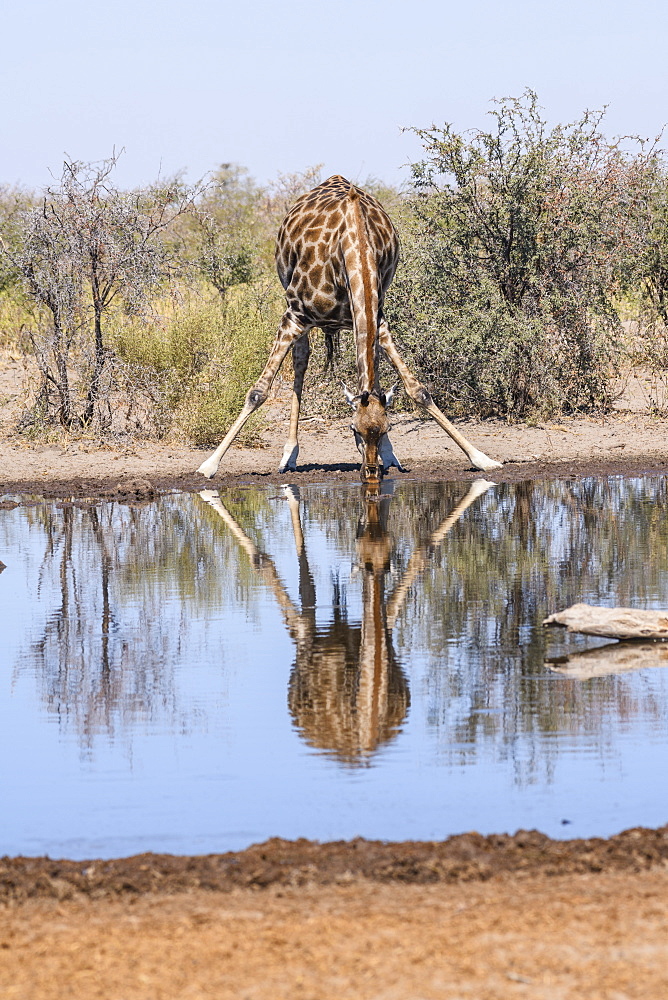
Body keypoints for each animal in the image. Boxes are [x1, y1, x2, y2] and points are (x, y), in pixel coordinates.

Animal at [198, 174, 500, 486]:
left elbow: (418, 390)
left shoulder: (378, 321)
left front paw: (481, 458)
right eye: (352, 429)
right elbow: (257, 392)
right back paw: (289, 455)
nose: (370, 473)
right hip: (293, 305)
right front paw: (209, 465)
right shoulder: (294, 317)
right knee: (300, 361)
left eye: (388, 429)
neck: (354, 244)